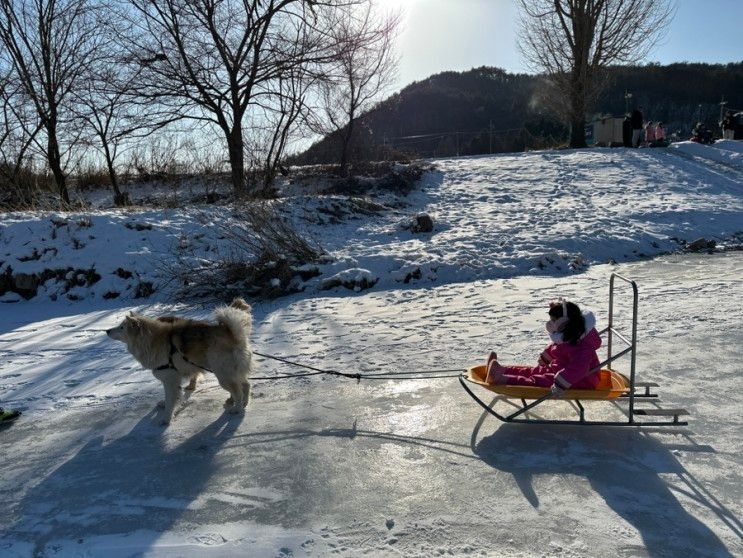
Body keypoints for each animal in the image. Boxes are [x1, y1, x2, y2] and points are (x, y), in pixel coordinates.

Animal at [106, 300, 254, 426]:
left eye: (121, 327)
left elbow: (170, 401)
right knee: (246, 385)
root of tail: (234, 334)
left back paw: (237, 409)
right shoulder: (172, 380)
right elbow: (173, 397)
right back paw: (244, 403)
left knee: (238, 391)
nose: (107, 330)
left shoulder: (170, 380)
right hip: (231, 373)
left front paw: (166, 419)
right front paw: (166, 405)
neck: (151, 341)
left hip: (223, 375)